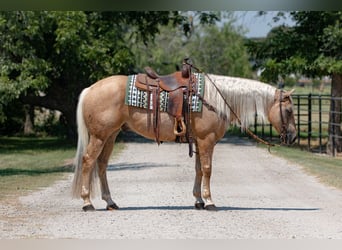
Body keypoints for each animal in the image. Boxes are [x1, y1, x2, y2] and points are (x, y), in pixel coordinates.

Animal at [71, 73, 296, 211]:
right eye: (289, 110)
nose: (293, 137)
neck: (216, 99)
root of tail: (91, 89)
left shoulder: (198, 141)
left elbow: (198, 170)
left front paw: (198, 200)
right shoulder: (207, 140)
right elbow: (207, 169)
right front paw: (210, 201)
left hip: (110, 136)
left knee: (101, 165)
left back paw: (110, 202)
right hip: (100, 137)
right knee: (88, 162)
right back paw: (87, 202)